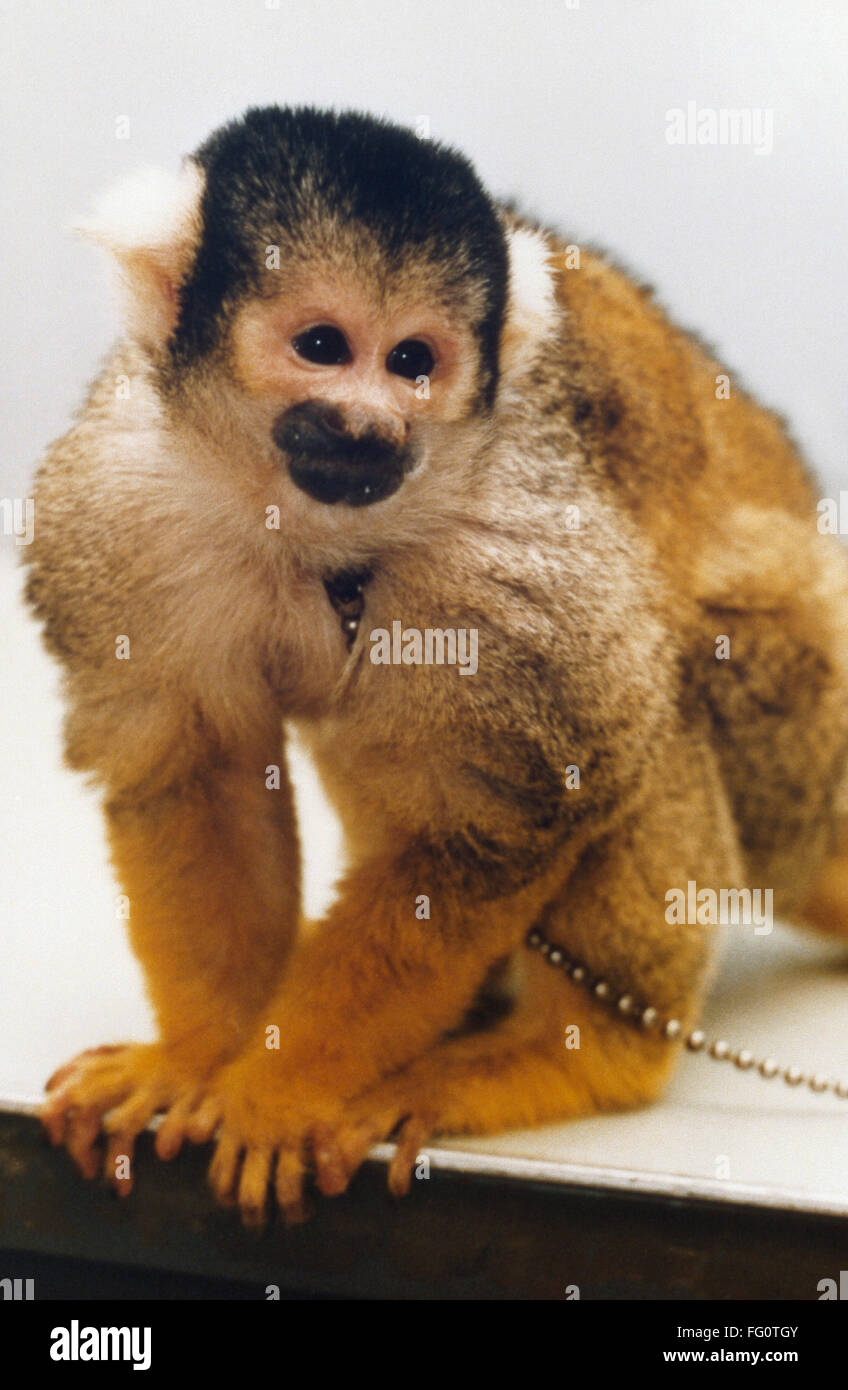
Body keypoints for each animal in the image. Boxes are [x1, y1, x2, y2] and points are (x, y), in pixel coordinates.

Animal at [23, 105, 848, 1226]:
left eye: (415, 359)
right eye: (323, 347)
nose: (373, 425)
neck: (314, 522)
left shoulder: (511, 567)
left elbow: (519, 808)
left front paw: (280, 1089)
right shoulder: (123, 496)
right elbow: (195, 764)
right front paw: (199, 1059)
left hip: (793, 742)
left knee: (662, 690)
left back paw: (580, 1058)